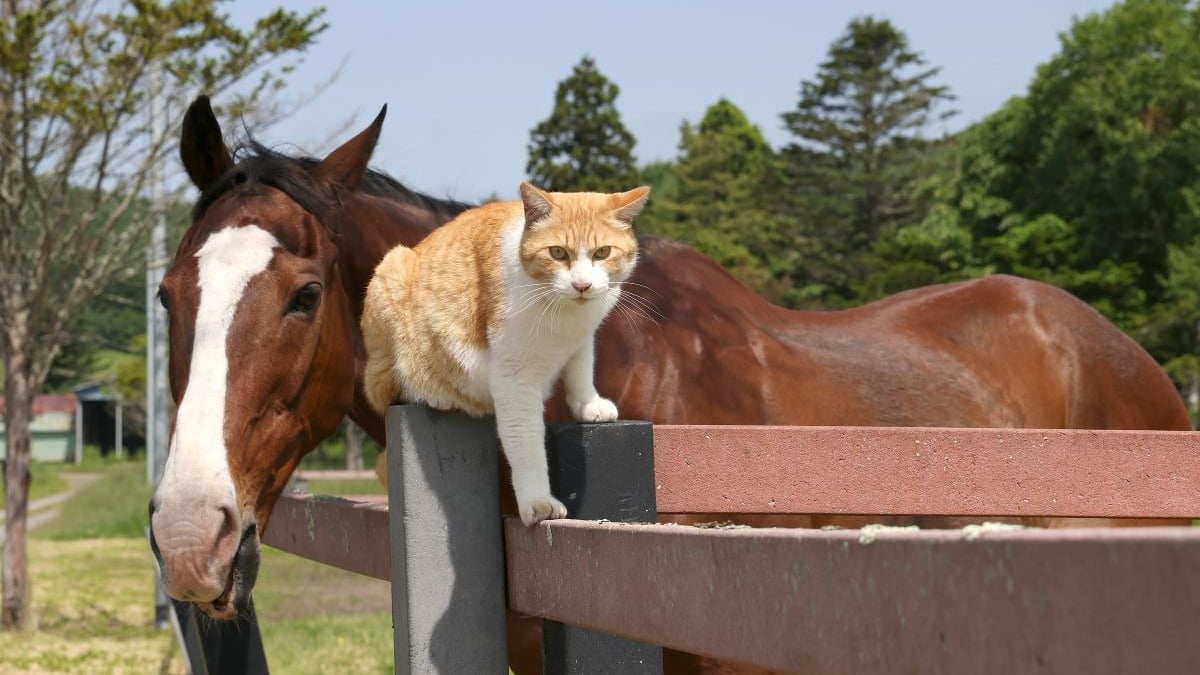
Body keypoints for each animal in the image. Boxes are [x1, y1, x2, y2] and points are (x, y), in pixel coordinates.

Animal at [360, 181, 652, 523]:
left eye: (602, 253)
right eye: (557, 252)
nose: (582, 285)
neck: (566, 313)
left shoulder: (583, 338)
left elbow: (580, 369)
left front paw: (589, 404)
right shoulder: (514, 378)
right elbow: (524, 440)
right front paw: (538, 501)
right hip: (391, 272)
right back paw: (434, 394)